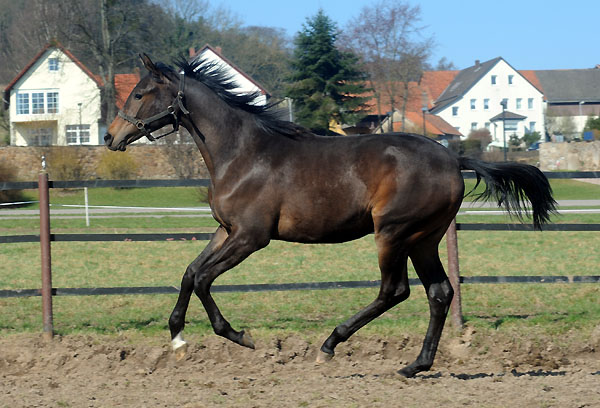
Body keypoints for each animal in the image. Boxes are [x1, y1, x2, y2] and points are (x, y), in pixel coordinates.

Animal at [104, 54, 556, 376]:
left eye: (140, 93)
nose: (110, 136)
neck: (242, 153)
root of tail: (453, 158)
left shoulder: (250, 237)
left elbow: (202, 279)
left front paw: (239, 337)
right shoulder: (225, 230)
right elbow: (189, 273)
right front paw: (178, 339)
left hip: (393, 233)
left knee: (395, 291)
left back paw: (330, 345)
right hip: (424, 238)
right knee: (439, 292)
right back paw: (415, 365)